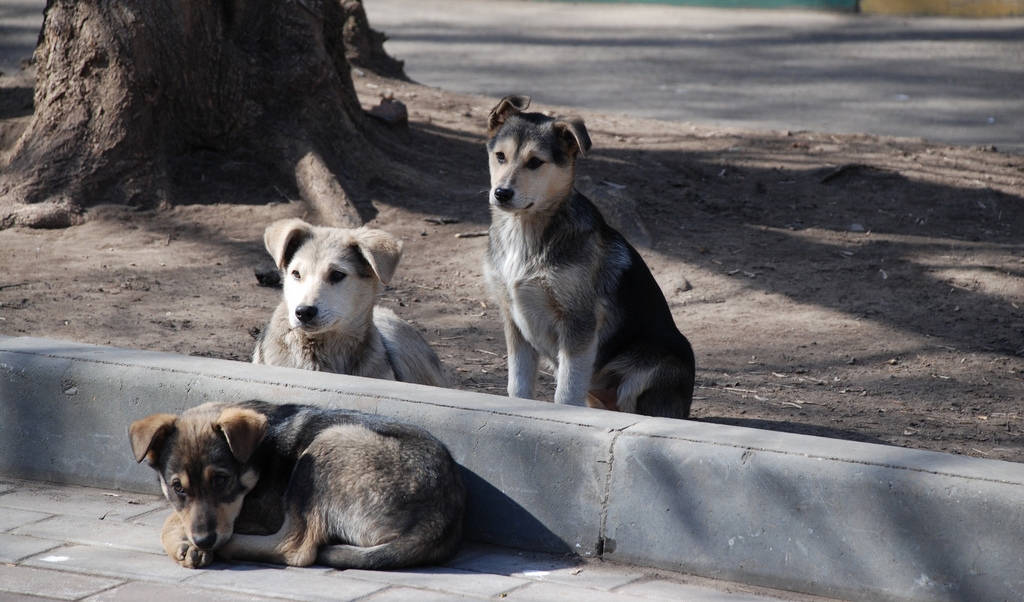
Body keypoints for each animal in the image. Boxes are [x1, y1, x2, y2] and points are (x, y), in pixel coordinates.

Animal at [129, 401, 468, 573]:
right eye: (178, 488)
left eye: (221, 481)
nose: (204, 540)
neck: (260, 455)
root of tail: (441, 518)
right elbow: (177, 515)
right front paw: (186, 544)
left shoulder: (260, 512)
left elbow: (170, 519)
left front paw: (186, 543)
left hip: (327, 445)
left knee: (297, 547)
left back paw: (228, 548)